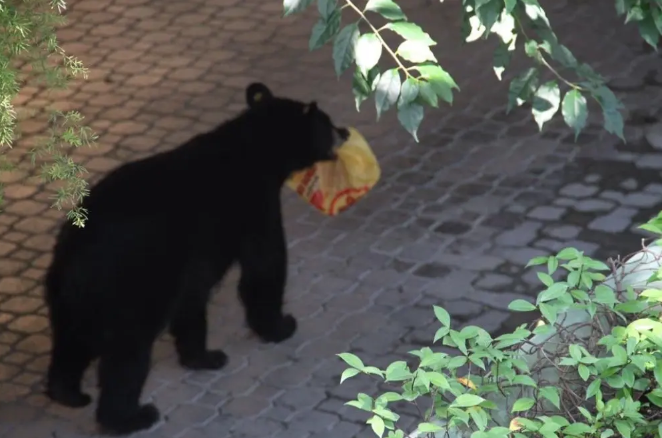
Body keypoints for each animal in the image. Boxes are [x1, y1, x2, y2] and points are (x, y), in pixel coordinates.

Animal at [43, 82, 350, 435]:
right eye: (327, 123)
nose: (345, 131)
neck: (256, 150)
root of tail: (73, 254)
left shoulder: (194, 257)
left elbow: (193, 297)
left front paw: (203, 356)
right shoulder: (254, 203)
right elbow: (264, 265)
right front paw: (281, 325)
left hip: (72, 300)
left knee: (71, 343)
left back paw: (67, 392)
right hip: (131, 284)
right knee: (127, 353)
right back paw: (131, 416)